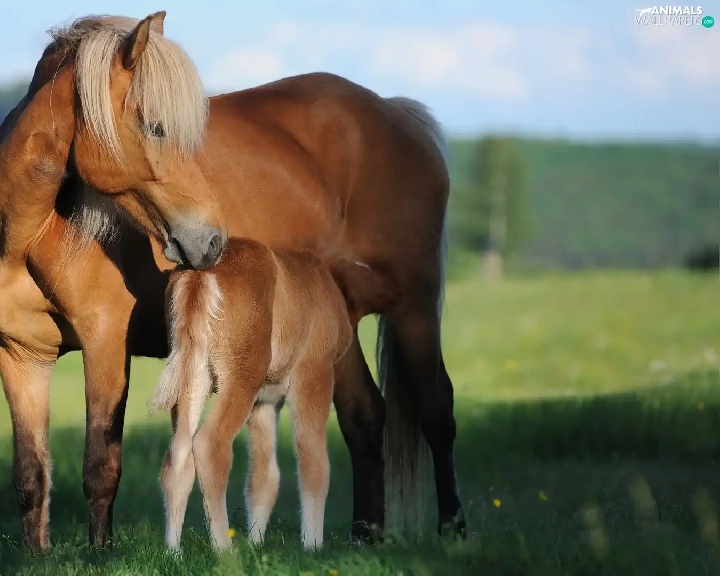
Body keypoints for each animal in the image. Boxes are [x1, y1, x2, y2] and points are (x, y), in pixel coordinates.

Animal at [151, 238, 355, 551]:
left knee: (179, 454)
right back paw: (224, 549)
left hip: (192, 374)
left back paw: (173, 552)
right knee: (210, 445)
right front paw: (313, 546)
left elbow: (263, 478)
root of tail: (199, 275)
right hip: (242, 376)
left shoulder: (265, 401)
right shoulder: (314, 372)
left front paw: (256, 544)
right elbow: (314, 460)